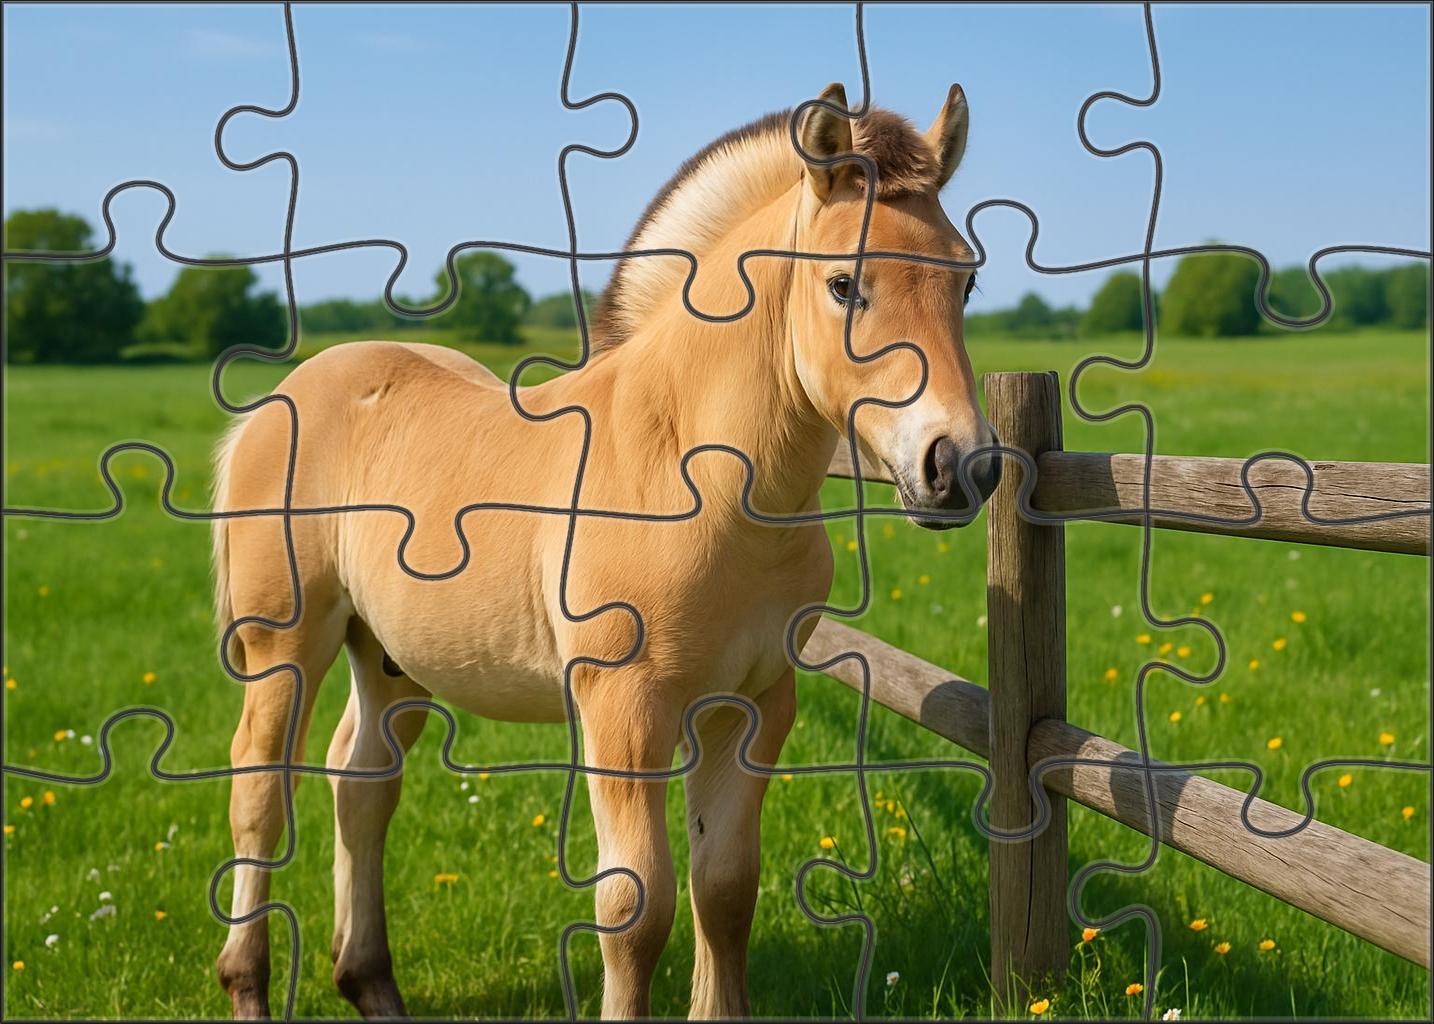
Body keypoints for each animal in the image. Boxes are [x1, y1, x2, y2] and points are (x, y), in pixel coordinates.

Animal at [212, 82, 998, 1020]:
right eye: (844, 282)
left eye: (968, 279)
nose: (960, 466)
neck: (696, 474)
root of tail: (281, 398)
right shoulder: (624, 710)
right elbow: (635, 908)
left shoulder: (754, 705)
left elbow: (724, 889)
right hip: (286, 642)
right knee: (260, 790)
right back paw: (248, 984)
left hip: (389, 654)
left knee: (360, 783)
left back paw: (371, 985)